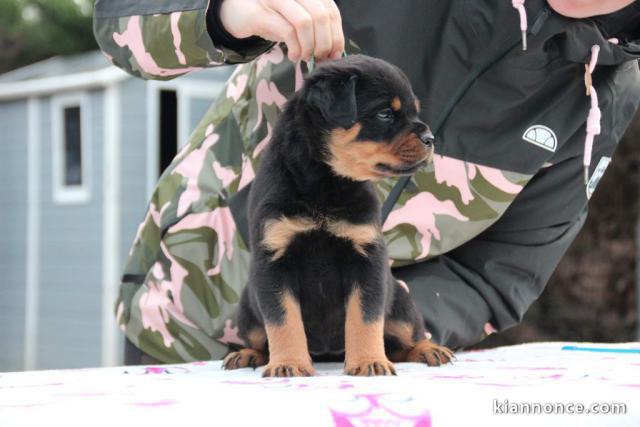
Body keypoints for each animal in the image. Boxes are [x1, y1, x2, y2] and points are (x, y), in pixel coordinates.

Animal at [222, 54, 452, 378]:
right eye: (385, 114)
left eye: (413, 111)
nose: (430, 138)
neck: (325, 183)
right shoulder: (274, 259)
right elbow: (282, 321)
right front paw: (288, 363)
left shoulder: (366, 256)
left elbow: (365, 318)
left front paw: (369, 361)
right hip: (248, 308)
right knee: (260, 336)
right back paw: (247, 354)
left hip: (401, 302)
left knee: (405, 338)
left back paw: (429, 349)